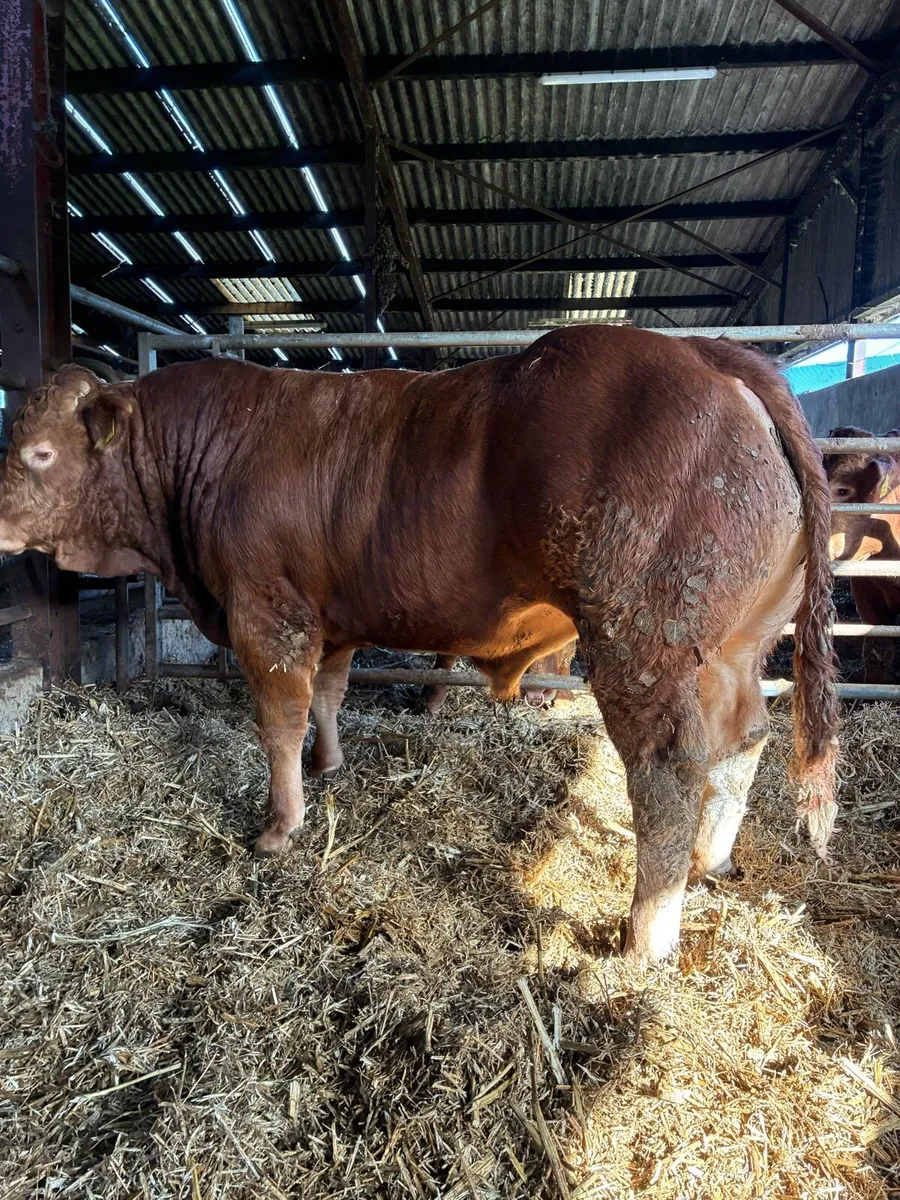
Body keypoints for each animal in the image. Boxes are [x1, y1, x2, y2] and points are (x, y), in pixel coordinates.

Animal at [0, 325, 838, 961]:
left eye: (40, 454)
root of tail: (705, 350)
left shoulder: (265, 612)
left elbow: (278, 719)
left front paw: (279, 826)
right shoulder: (331, 616)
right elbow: (328, 696)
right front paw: (329, 765)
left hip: (642, 636)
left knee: (670, 767)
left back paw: (646, 931)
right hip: (735, 645)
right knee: (745, 736)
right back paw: (709, 859)